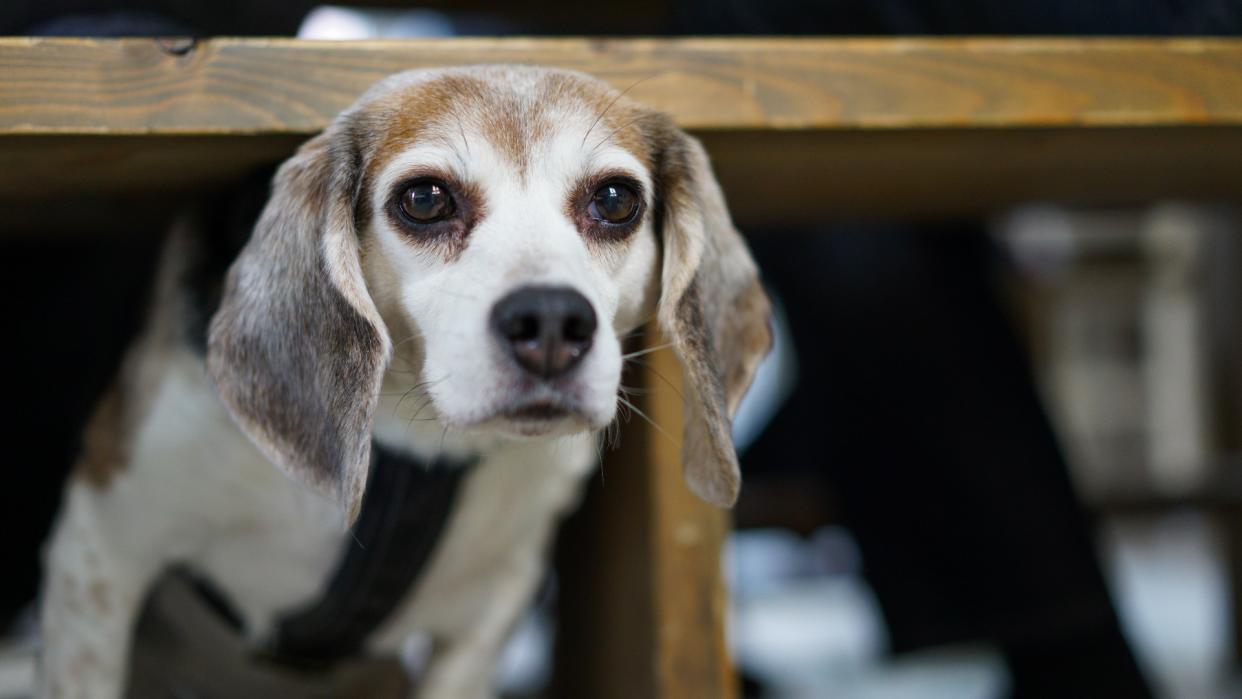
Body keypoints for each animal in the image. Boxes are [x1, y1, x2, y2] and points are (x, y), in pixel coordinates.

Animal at [38, 65, 770, 699]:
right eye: (425, 199)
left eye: (615, 200)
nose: (551, 321)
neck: (412, 446)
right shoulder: (100, 548)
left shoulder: (491, 605)